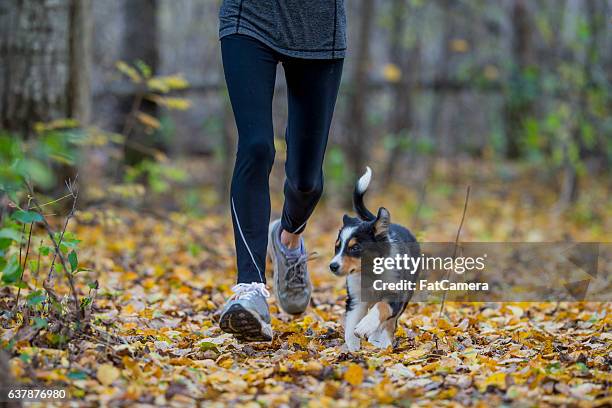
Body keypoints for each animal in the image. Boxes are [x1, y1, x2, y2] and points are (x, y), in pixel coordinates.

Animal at [330, 167, 420, 352]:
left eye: (355, 248)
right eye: (337, 247)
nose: (333, 266)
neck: (370, 272)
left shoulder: (396, 294)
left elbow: (382, 308)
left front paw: (365, 327)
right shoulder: (356, 298)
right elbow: (351, 324)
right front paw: (352, 348)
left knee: (390, 321)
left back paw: (381, 340)